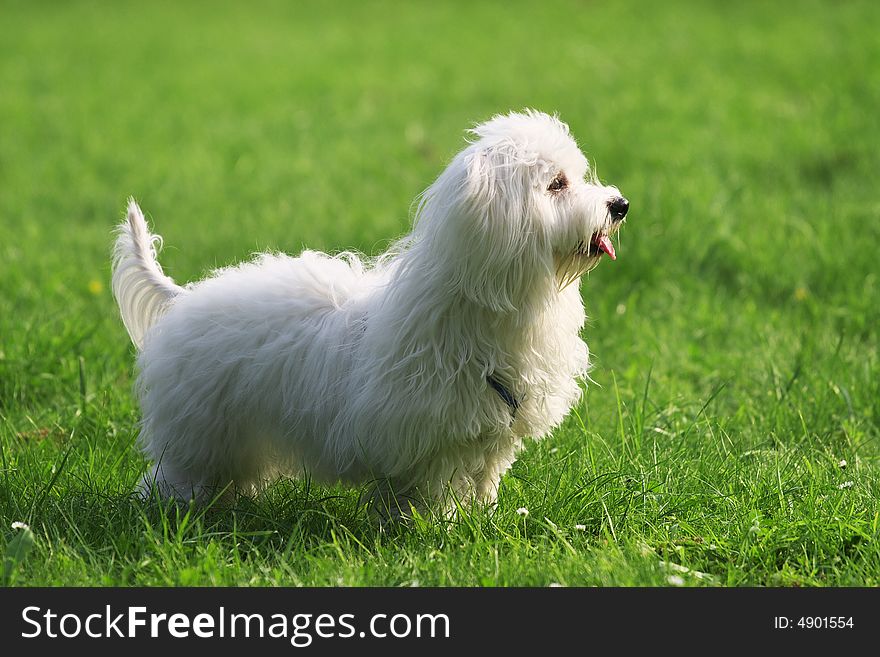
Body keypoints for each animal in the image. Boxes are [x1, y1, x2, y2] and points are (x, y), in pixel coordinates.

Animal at [113, 110, 628, 516]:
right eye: (557, 184)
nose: (619, 205)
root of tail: (183, 298)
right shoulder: (425, 436)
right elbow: (428, 490)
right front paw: (430, 527)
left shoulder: (488, 435)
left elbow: (483, 479)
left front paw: (479, 519)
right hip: (199, 431)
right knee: (174, 475)